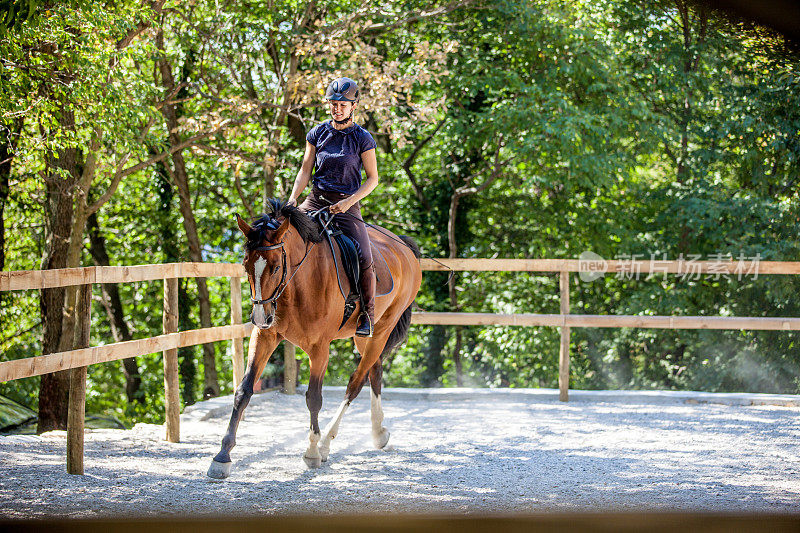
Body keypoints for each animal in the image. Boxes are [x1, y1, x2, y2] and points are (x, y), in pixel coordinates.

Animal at [206, 196, 422, 478]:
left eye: (276, 267)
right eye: (246, 266)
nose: (260, 317)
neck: (297, 283)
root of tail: (404, 246)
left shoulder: (320, 348)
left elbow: (314, 398)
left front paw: (311, 451)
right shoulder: (265, 336)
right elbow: (244, 390)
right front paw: (222, 456)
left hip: (383, 329)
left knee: (356, 382)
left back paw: (327, 442)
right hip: (366, 336)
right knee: (374, 371)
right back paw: (378, 433)